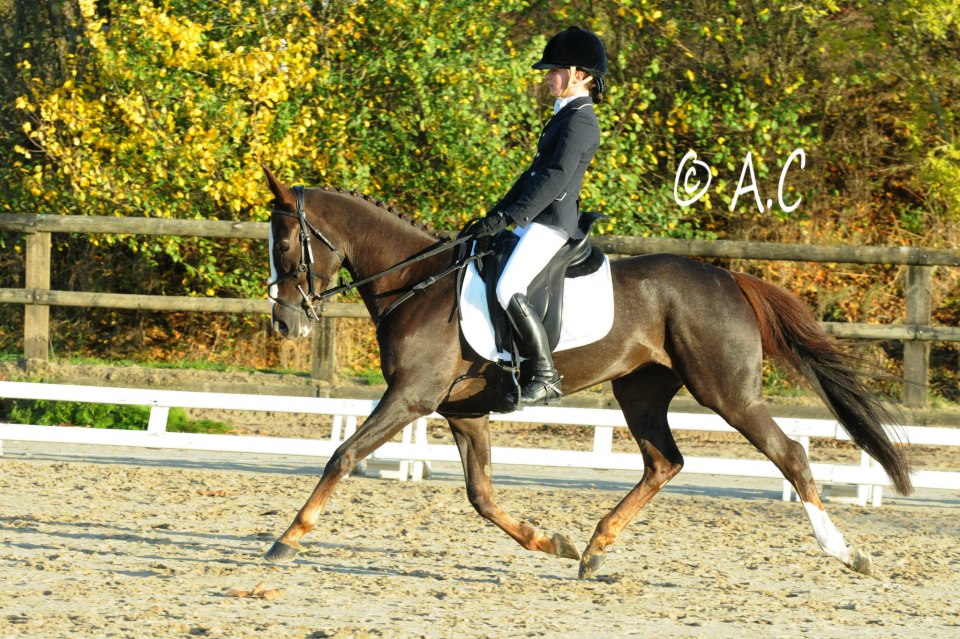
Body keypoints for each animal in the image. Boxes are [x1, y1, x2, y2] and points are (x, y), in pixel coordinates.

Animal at [260, 166, 908, 580]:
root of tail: (729, 277)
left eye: (286, 246)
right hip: (640, 390)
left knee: (790, 455)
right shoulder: (462, 410)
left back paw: (846, 553)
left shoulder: (411, 398)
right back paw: (595, 548)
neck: (417, 283)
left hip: (727, 393)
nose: (286, 324)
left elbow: (343, 455)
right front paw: (551, 542)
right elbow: (481, 495)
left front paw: (287, 538)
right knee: (663, 463)